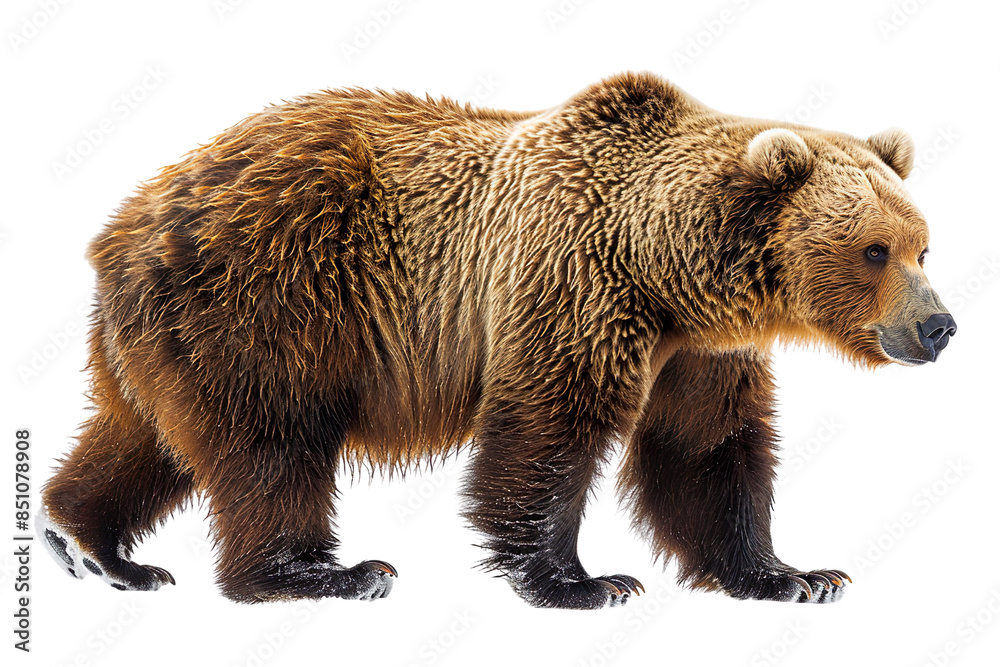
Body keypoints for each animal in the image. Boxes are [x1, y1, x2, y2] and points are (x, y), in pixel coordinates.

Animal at [38, 72, 956, 608]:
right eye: (874, 249)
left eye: (923, 245)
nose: (938, 325)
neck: (667, 269)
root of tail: (126, 221)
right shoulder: (574, 281)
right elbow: (548, 430)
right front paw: (584, 580)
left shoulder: (699, 349)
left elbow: (707, 448)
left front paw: (793, 574)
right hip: (271, 297)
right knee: (275, 442)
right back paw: (324, 571)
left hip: (165, 337)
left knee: (143, 438)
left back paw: (93, 545)